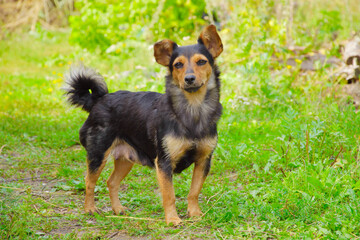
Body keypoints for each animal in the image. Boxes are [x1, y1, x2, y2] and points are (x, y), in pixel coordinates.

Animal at [64, 24, 222, 225]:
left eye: (201, 62)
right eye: (177, 65)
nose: (189, 79)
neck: (193, 109)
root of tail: (98, 100)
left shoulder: (203, 161)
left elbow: (194, 191)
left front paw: (194, 214)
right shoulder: (164, 163)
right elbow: (169, 195)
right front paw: (172, 219)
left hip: (125, 158)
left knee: (111, 182)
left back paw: (118, 209)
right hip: (98, 155)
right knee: (89, 182)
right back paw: (90, 209)